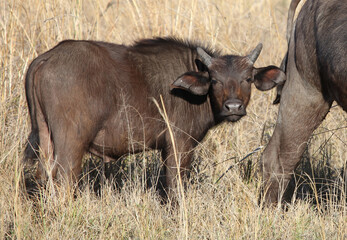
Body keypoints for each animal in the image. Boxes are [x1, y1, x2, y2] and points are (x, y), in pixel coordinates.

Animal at [23, 37, 286, 198]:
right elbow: (175, 186)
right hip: (71, 144)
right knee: (64, 180)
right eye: (214, 80)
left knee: (42, 177)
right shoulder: (179, 146)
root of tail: (47, 57)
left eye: (247, 79)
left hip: (45, 137)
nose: (233, 107)